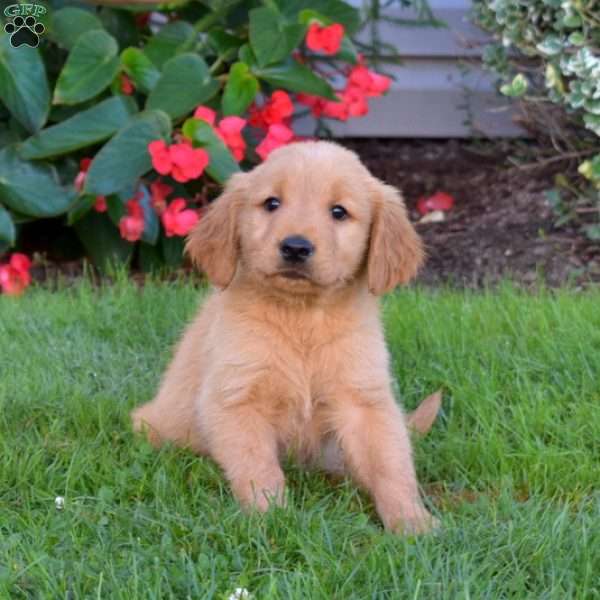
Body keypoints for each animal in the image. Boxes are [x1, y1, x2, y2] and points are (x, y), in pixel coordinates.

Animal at [132, 141, 440, 536]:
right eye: (271, 203)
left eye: (339, 212)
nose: (295, 247)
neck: (301, 319)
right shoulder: (235, 398)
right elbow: (257, 467)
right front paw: (272, 519)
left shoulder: (364, 400)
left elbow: (391, 464)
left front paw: (411, 520)